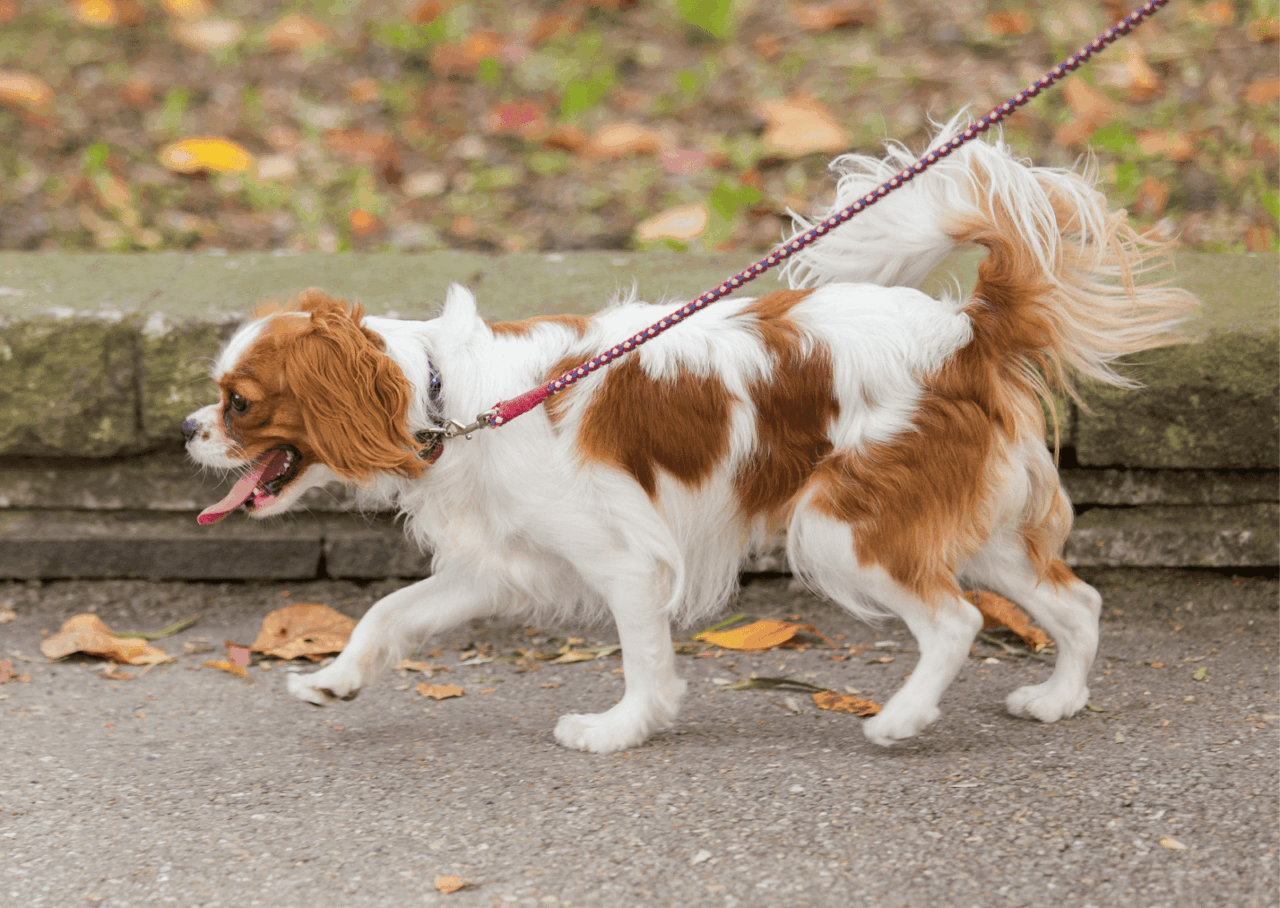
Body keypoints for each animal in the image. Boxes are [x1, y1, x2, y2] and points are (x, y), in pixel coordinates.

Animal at [182, 122, 1194, 752]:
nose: (187, 429)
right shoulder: (493, 566)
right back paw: (1057, 699)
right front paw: (336, 681)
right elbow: (390, 613)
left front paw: (620, 729)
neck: (446, 396)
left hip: (842, 527)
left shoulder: (627, 561)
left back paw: (900, 723)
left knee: (955, 621)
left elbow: (645, 659)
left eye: (239, 402)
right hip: (973, 527)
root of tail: (963, 331)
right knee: (1075, 602)